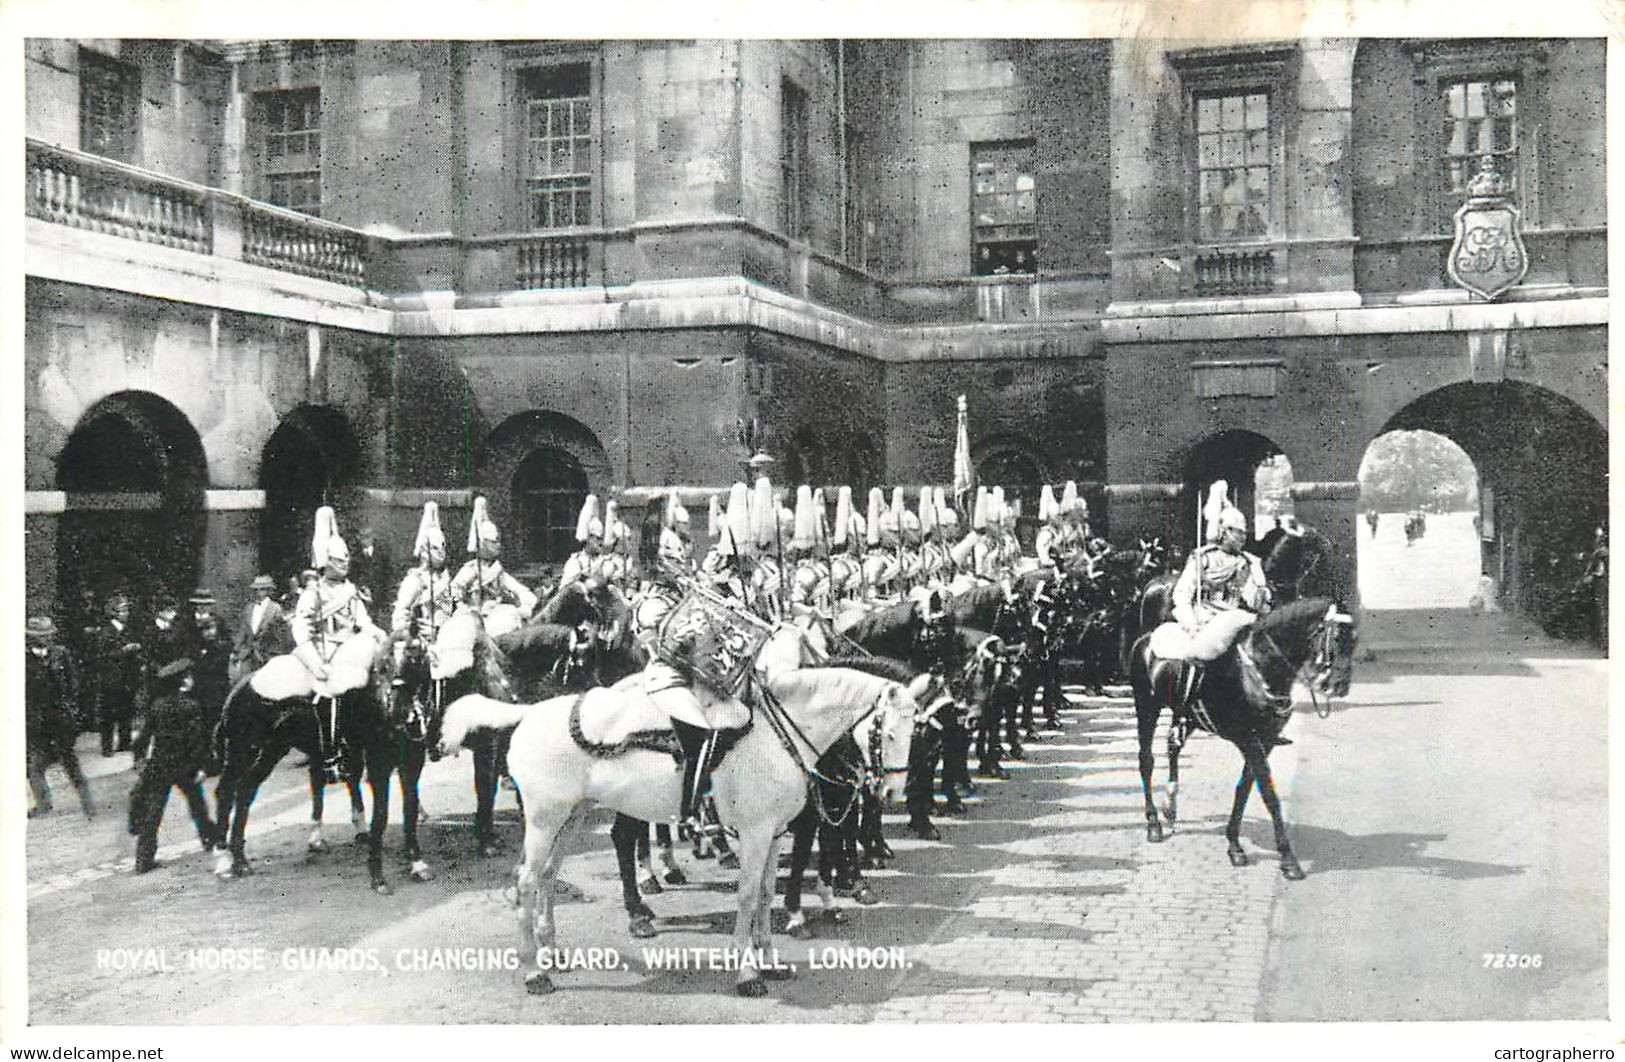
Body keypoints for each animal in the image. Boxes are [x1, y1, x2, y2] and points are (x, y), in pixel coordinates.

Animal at [442, 665, 929, 1000]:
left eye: (916, 729)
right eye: (887, 731)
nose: (892, 792)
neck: (776, 737)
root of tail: (529, 713)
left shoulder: (772, 835)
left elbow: (767, 894)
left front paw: (770, 961)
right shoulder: (754, 834)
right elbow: (748, 897)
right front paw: (746, 973)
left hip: (571, 817)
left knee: (545, 876)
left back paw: (553, 955)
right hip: (545, 820)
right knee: (527, 881)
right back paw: (534, 972)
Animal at [1124, 597, 1352, 883]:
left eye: (1354, 638)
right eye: (1334, 638)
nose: (1341, 685)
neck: (1259, 669)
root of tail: (1145, 639)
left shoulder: (1265, 741)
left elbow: (1244, 788)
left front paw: (1234, 845)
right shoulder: (1249, 740)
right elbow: (1269, 795)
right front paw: (1288, 860)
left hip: (1186, 715)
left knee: (1172, 746)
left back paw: (1170, 807)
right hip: (1146, 707)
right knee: (1146, 760)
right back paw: (1153, 823)